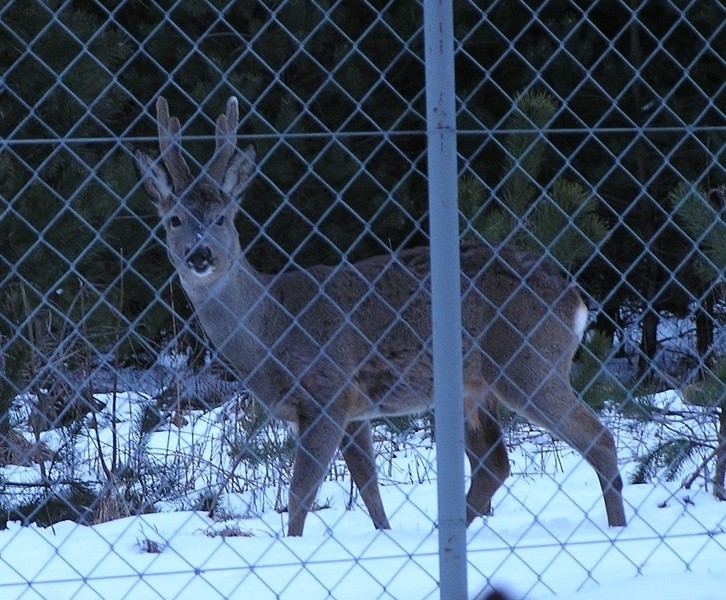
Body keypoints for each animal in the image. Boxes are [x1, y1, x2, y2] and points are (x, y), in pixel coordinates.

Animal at [134, 96, 628, 536]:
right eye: (174, 220)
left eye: (222, 218)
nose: (200, 255)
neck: (271, 329)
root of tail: (575, 299)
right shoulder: (355, 410)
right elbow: (370, 489)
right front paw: (384, 536)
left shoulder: (328, 392)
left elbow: (300, 495)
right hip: (478, 384)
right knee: (494, 463)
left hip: (529, 363)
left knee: (597, 438)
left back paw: (616, 529)